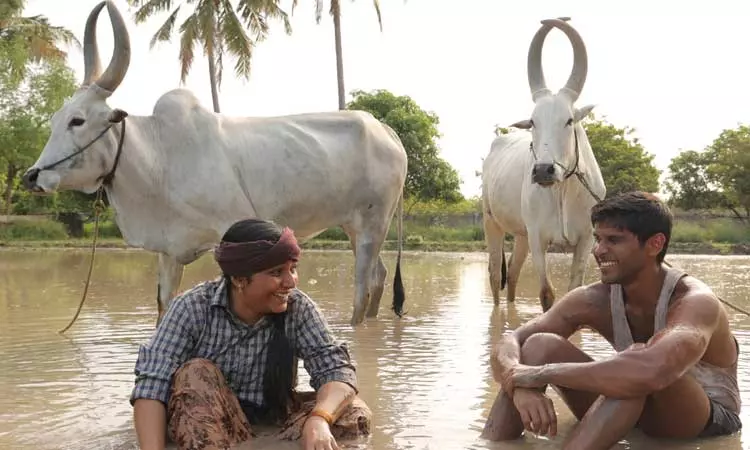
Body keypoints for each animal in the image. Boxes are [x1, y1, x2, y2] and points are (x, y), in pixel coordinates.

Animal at [21, 0, 407, 326]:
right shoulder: (169, 252)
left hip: (374, 224)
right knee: (379, 277)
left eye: (78, 121)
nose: (32, 177)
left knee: (362, 290)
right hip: (355, 227)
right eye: (55, 120)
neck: (159, 158)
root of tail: (383, 128)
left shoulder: (232, 231)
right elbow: (163, 307)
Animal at [481, 18, 606, 312]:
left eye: (569, 120)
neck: (562, 190)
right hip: (491, 223)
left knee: (513, 274)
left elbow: (573, 291)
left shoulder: (586, 239)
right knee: (495, 275)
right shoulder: (538, 238)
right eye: (533, 121)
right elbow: (547, 294)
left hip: (521, 235)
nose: (543, 171)